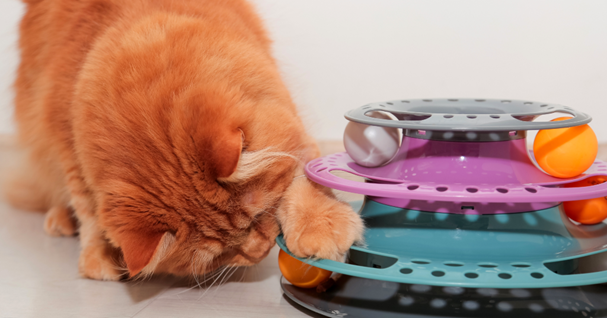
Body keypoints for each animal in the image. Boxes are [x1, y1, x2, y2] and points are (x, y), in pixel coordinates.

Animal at [8, 0, 360, 280]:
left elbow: (303, 179)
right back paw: (60, 220)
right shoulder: (64, 138)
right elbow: (88, 208)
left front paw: (320, 228)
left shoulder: (288, 122)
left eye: (260, 215)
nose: (259, 252)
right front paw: (99, 257)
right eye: (220, 256)